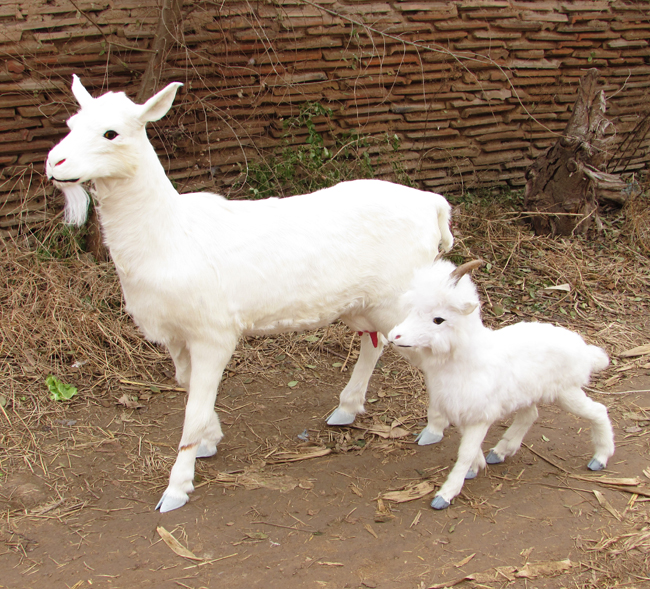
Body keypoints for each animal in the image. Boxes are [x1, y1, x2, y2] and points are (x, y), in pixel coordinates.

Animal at [46, 77, 450, 510]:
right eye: (70, 123)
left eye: (112, 133)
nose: (55, 164)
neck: (170, 234)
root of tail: (434, 204)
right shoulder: (175, 334)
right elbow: (188, 386)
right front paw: (210, 439)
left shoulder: (213, 332)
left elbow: (193, 407)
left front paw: (176, 488)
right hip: (365, 303)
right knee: (373, 344)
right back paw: (346, 408)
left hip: (401, 299)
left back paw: (435, 430)